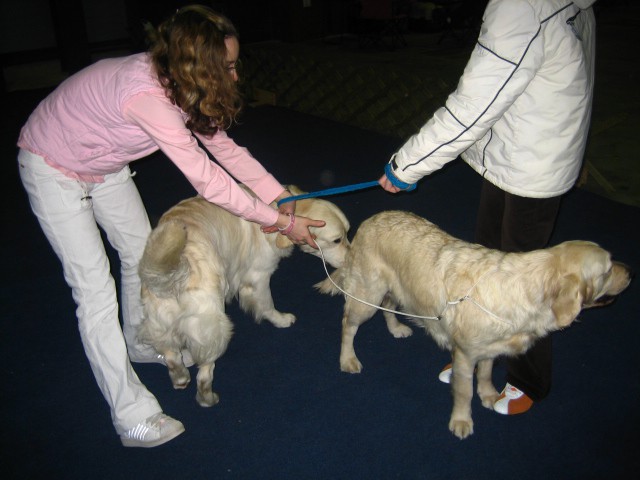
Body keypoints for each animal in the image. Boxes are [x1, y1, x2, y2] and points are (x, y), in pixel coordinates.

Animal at [139, 186, 350, 406]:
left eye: (348, 233)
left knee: (171, 355)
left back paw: (180, 377)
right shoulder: (259, 276)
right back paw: (208, 398)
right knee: (204, 373)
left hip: (160, 323)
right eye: (337, 240)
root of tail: (177, 272)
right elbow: (267, 305)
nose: (351, 259)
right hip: (213, 325)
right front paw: (281, 320)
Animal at [316, 210, 632, 438]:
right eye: (607, 269)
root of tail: (370, 220)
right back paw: (348, 359)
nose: (630, 271)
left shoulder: (491, 347)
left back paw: (396, 329)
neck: (526, 289)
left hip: (397, 288)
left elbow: (486, 373)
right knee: (348, 323)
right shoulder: (466, 355)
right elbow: (464, 391)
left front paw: (489, 394)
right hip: (367, 295)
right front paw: (462, 421)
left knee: (389, 306)